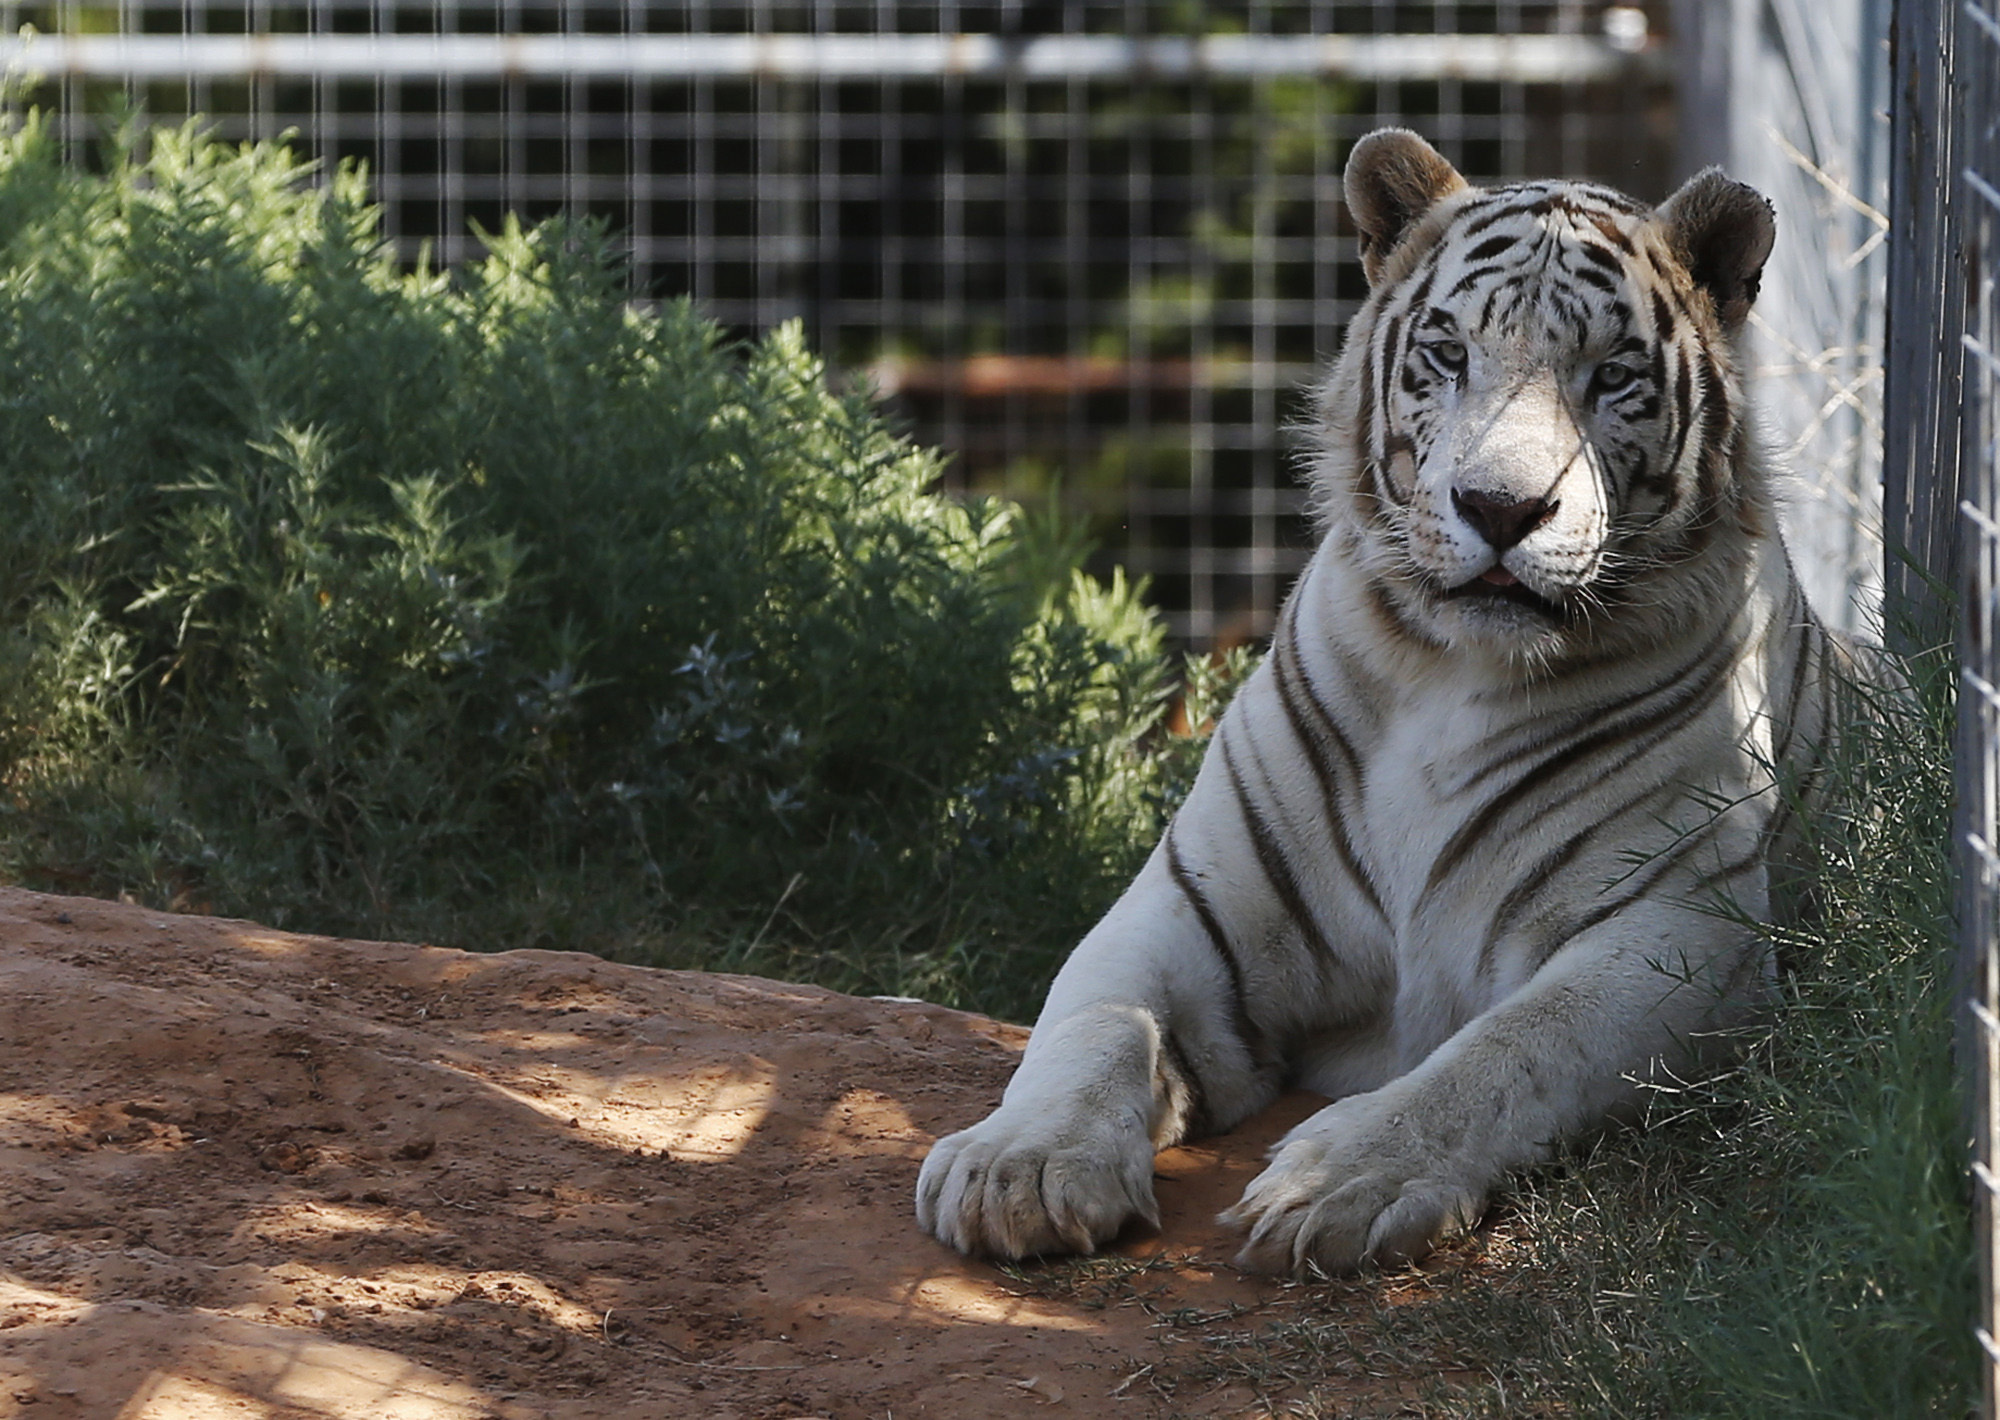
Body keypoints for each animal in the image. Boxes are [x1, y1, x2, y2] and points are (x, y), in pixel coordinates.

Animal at [914, 128, 1839, 1275]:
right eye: (1447, 354)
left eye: (1612, 376)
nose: (1499, 507)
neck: (1455, 674)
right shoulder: (1190, 903)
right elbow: (1091, 1021)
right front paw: (1020, 1167)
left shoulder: (1680, 928)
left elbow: (1502, 1054)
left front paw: (1339, 1182)